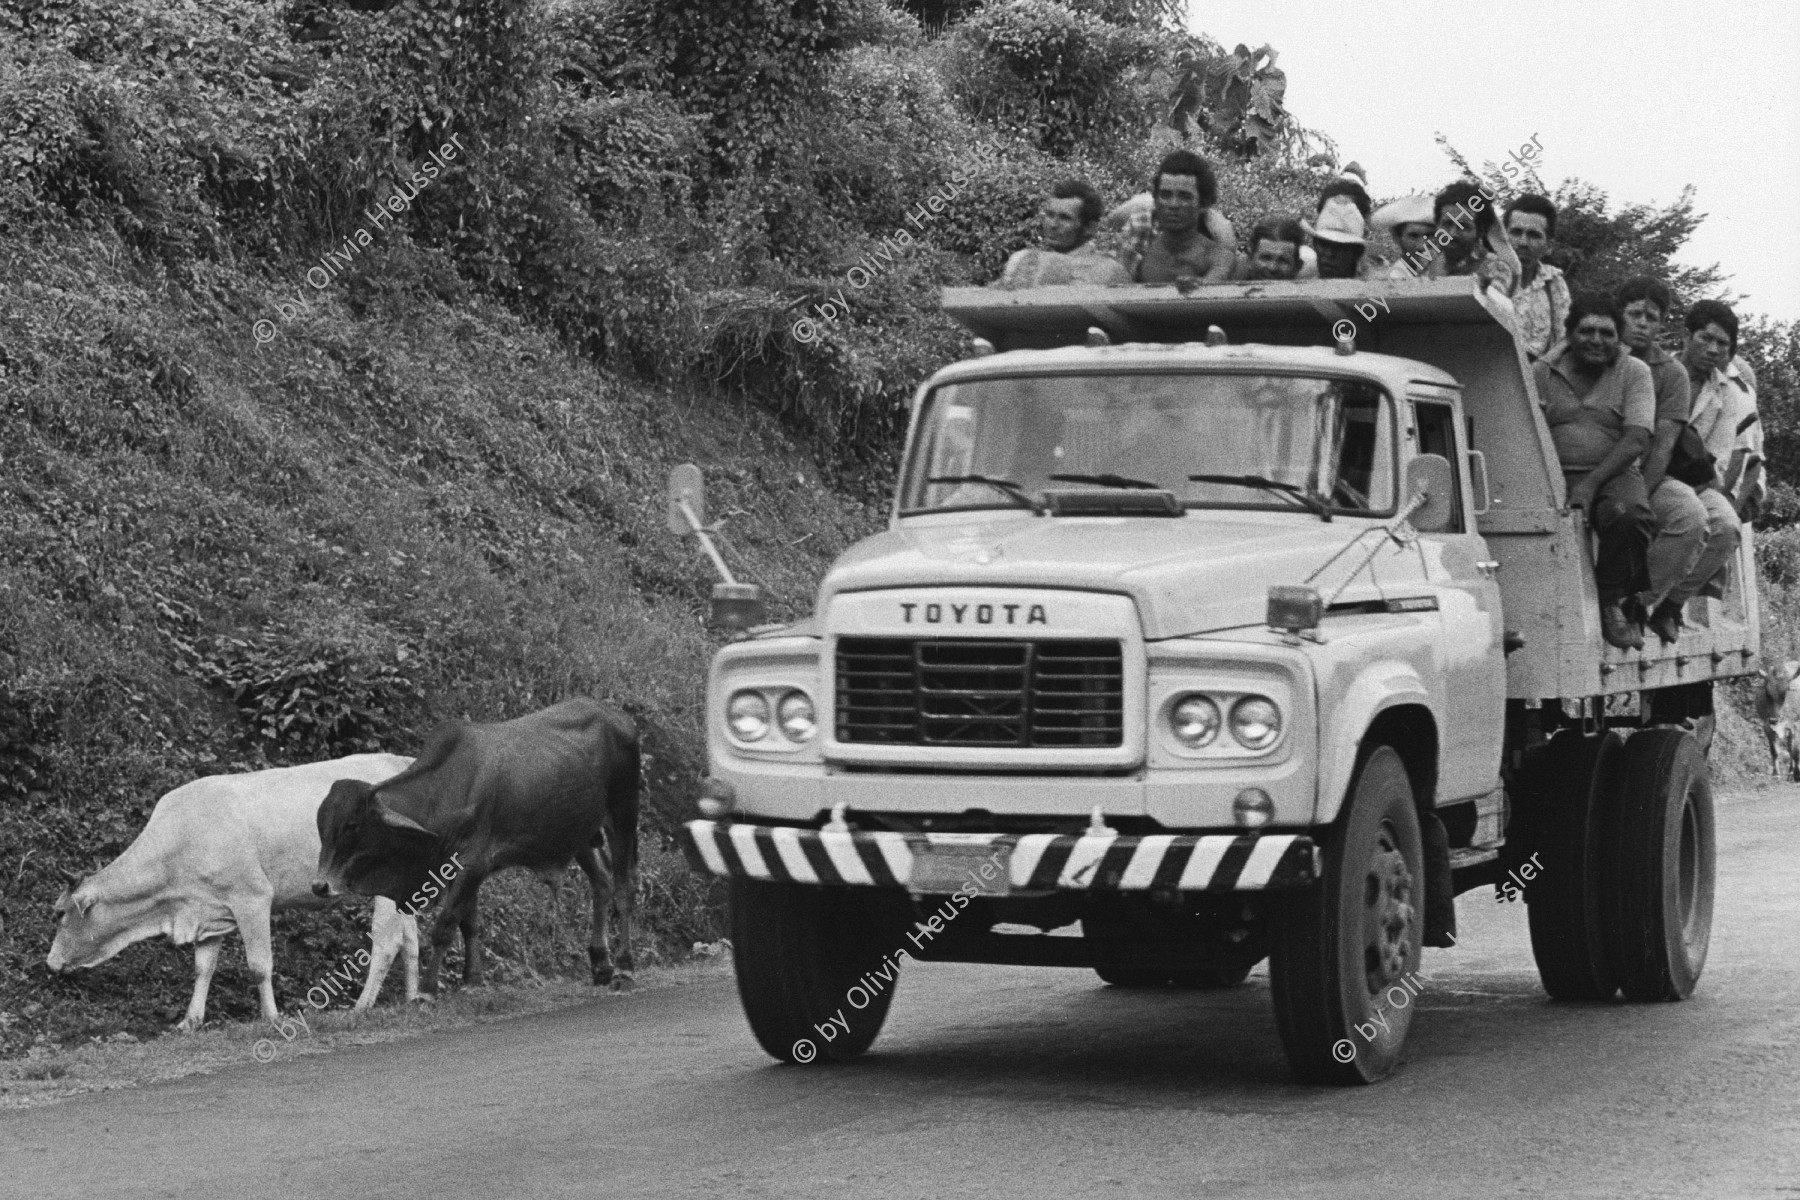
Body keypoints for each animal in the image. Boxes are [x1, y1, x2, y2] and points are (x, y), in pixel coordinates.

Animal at [49, 755, 421, 1029]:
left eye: (61, 913)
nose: (51, 963)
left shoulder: (252, 897)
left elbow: (259, 965)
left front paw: (271, 1017)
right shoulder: (207, 907)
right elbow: (203, 967)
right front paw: (190, 1022)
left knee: (387, 943)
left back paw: (361, 1007)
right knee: (411, 941)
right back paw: (413, 1000)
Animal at [311, 694, 640, 993]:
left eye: (351, 825)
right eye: (320, 826)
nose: (320, 886)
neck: (443, 793)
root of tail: (620, 717)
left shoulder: (473, 864)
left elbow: (445, 925)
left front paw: (428, 990)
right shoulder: (456, 869)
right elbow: (468, 923)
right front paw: (473, 979)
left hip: (623, 815)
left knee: (624, 889)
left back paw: (624, 967)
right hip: (581, 835)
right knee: (602, 882)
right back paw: (601, 964)